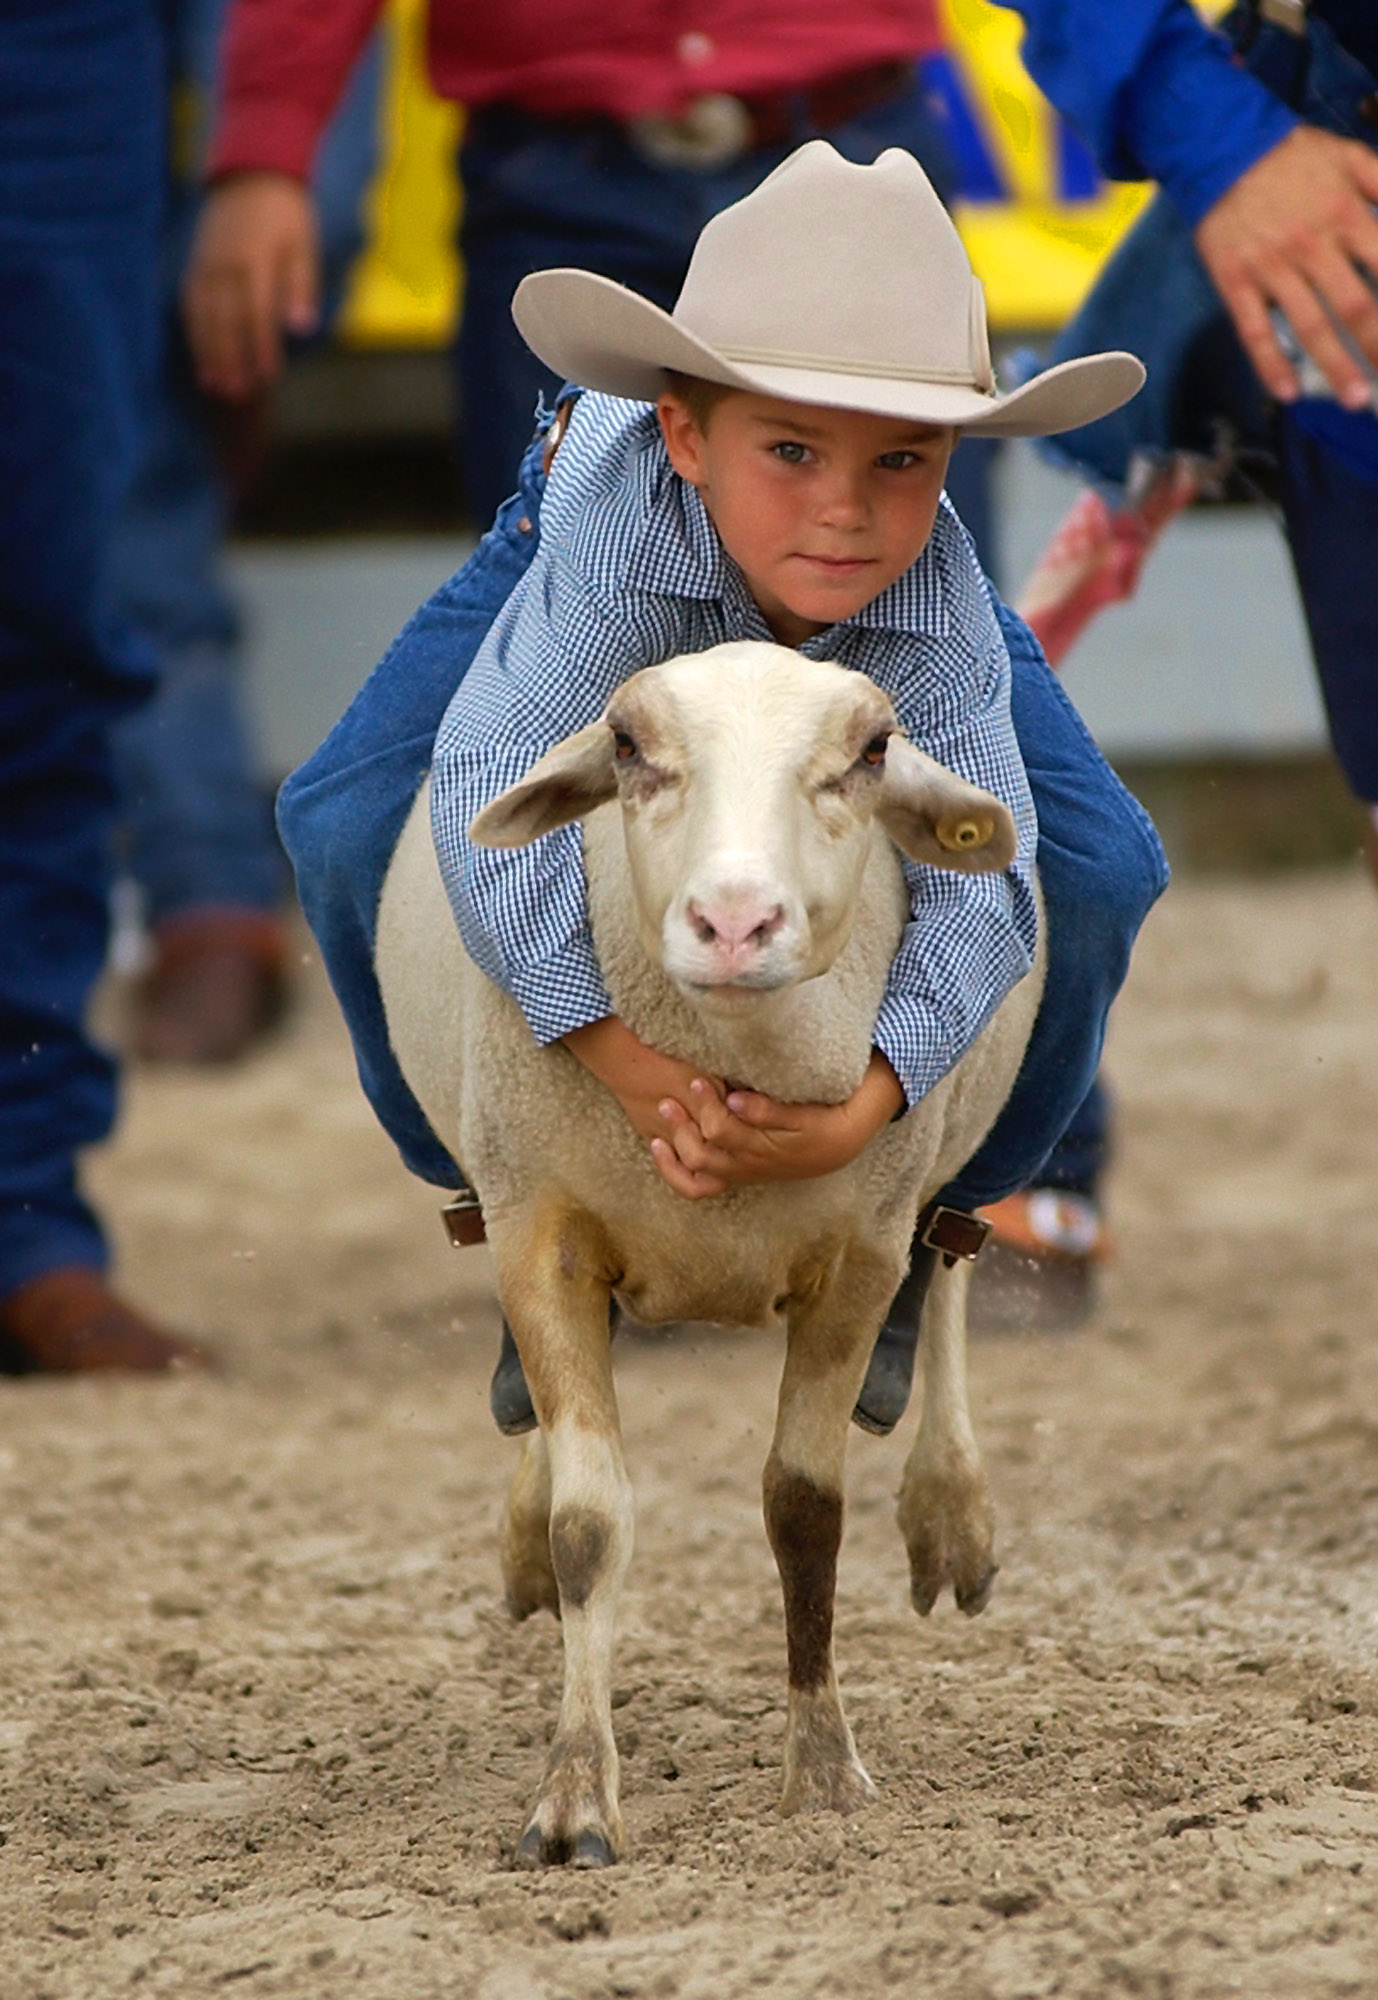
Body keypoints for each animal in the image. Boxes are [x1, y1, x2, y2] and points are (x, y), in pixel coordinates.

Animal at [376, 644, 1040, 1872]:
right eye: (629, 746)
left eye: (871, 751)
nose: (735, 921)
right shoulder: (540, 1233)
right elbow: (590, 1526)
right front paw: (572, 1805)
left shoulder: (860, 1255)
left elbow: (805, 1511)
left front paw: (823, 1771)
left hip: (952, 1133)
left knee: (955, 1258)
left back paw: (950, 1510)